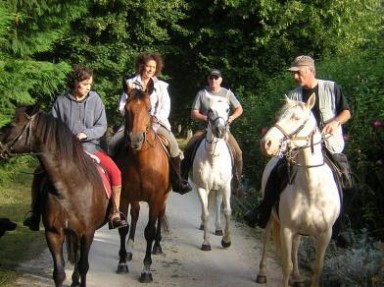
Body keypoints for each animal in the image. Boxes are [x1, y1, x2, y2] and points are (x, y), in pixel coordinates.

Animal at [0, 106, 112, 287]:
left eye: (11, 124)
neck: (69, 187)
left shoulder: (87, 233)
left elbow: (84, 266)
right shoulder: (54, 233)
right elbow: (59, 273)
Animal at [112, 85, 170, 284]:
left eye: (149, 108)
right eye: (127, 109)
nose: (135, 140)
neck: (142, 161)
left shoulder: (155, 198)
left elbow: (150, 231)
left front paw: (146, 270)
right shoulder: (124, 196)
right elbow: (124, 227)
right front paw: (122, 262)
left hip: (163, 198)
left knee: (160, 215)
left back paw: (158, 246)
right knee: (136, 214)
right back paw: (129, 250)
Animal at [190, 99, 232, 252]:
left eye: (227, 109)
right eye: (209, 110)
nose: (220, 130)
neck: (213, 158)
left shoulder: (226, 186)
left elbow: (227, 211)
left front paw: (226, 241)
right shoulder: (202, 187)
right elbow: (206, 213)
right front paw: (206, 242)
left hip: (219, 188)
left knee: (218, 202)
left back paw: (219, 228)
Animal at [256, 93, 340, 286]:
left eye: (296, 118)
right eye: (279, 116)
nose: (266, 143)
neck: (312, 190)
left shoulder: (325, 234)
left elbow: (317, 268)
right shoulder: (287, 229)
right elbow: (285, 265)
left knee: (296, 246)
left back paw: (297, 276)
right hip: (270, 217)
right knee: (265, 239)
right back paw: (262, 273)